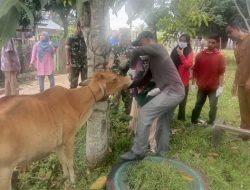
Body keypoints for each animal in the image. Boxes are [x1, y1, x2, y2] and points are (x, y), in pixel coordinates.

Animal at [0, 71, 132, 190]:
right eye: (114, 78)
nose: (129, 77)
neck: (75, 102)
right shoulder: (69, 138)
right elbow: (69, 161)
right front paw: (73, 181)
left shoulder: (57, 143)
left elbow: (62, 161)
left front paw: (65, 178)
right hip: (5, 171)